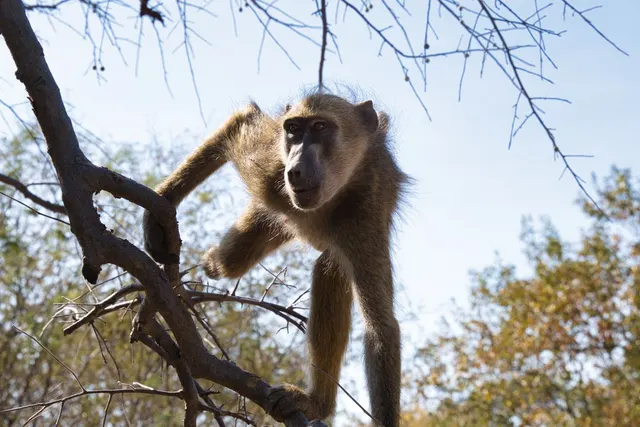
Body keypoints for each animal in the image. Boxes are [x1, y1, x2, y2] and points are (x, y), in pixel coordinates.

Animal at [143, 92, 409, 427]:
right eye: (293, 129)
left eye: (320, 127)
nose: (295, 170)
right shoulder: (270, 172)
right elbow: (242, 121)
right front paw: (162, 202)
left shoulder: (365, 217)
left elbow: (381, 329)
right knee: (229, 262)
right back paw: (206, 264)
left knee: (327, 270)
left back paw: (316, 404)